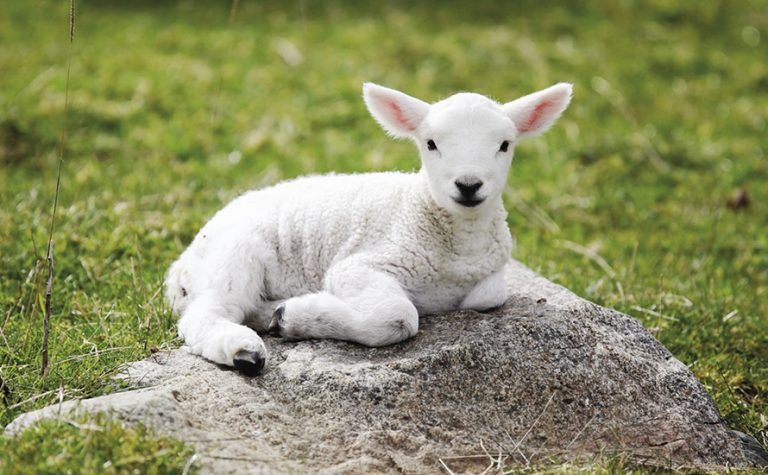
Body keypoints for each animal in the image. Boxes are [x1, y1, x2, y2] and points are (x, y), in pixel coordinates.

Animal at [165, 83, 572, 378]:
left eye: (504, 145)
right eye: (430, 144)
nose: (468, 185)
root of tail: (181, 264)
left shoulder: (489, 278)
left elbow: (489, 295)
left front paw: (292, 314)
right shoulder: (360, 265)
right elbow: (398, 317)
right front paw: (302, 317)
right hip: (232, 258)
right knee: (206, 314)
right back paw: (243, 351)